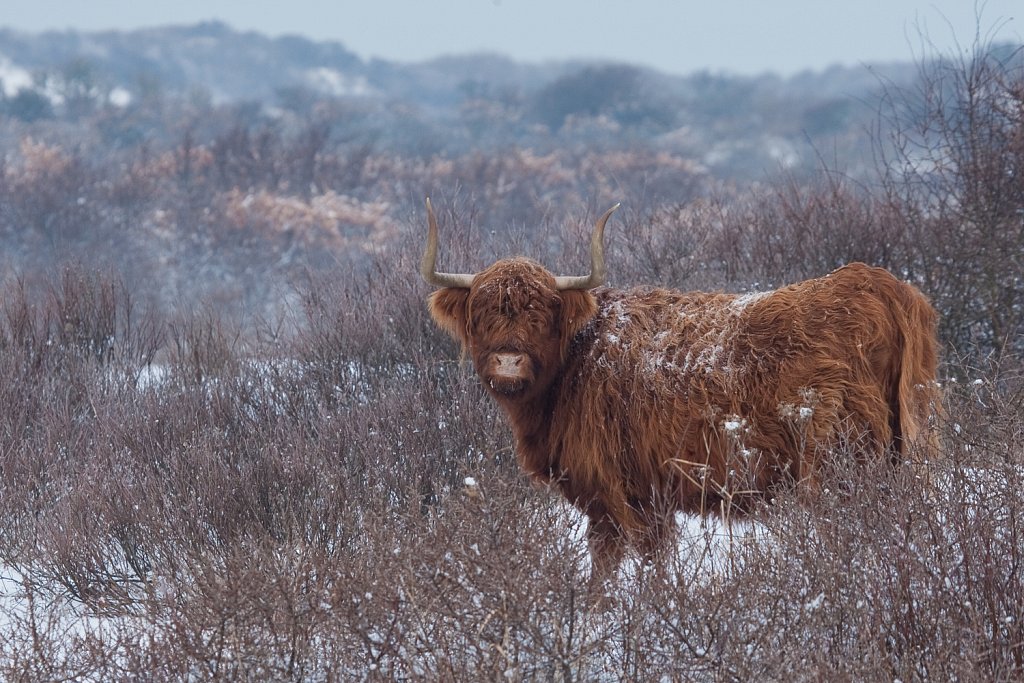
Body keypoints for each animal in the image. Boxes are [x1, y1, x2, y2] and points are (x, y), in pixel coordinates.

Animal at [419, 198, 937, 577]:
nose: (509, 361)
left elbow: (629, 569)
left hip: (840, 466)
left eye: (542, 313)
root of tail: (875, 282)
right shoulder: (636, 499)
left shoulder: (619, 493)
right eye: (481, 312)